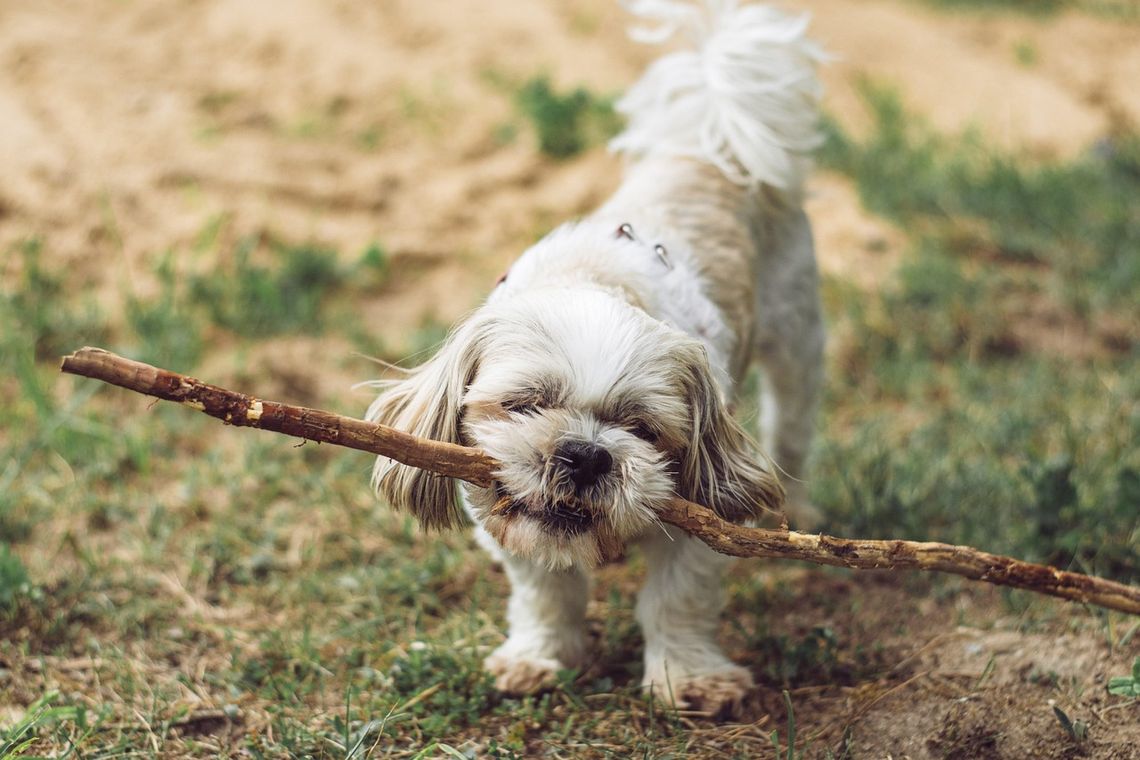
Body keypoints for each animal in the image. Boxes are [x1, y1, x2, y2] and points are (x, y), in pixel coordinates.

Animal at [369, 0, 825, 720]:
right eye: (524, 405)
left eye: (642, 429)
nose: (585, 454)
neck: (595, 278)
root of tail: (708, 149)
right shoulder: (500, 514)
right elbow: (546, 593)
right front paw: (541, 657)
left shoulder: (699, 513)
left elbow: (677, 599)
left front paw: (689, 677)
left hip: (799, 341)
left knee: (793, 427)